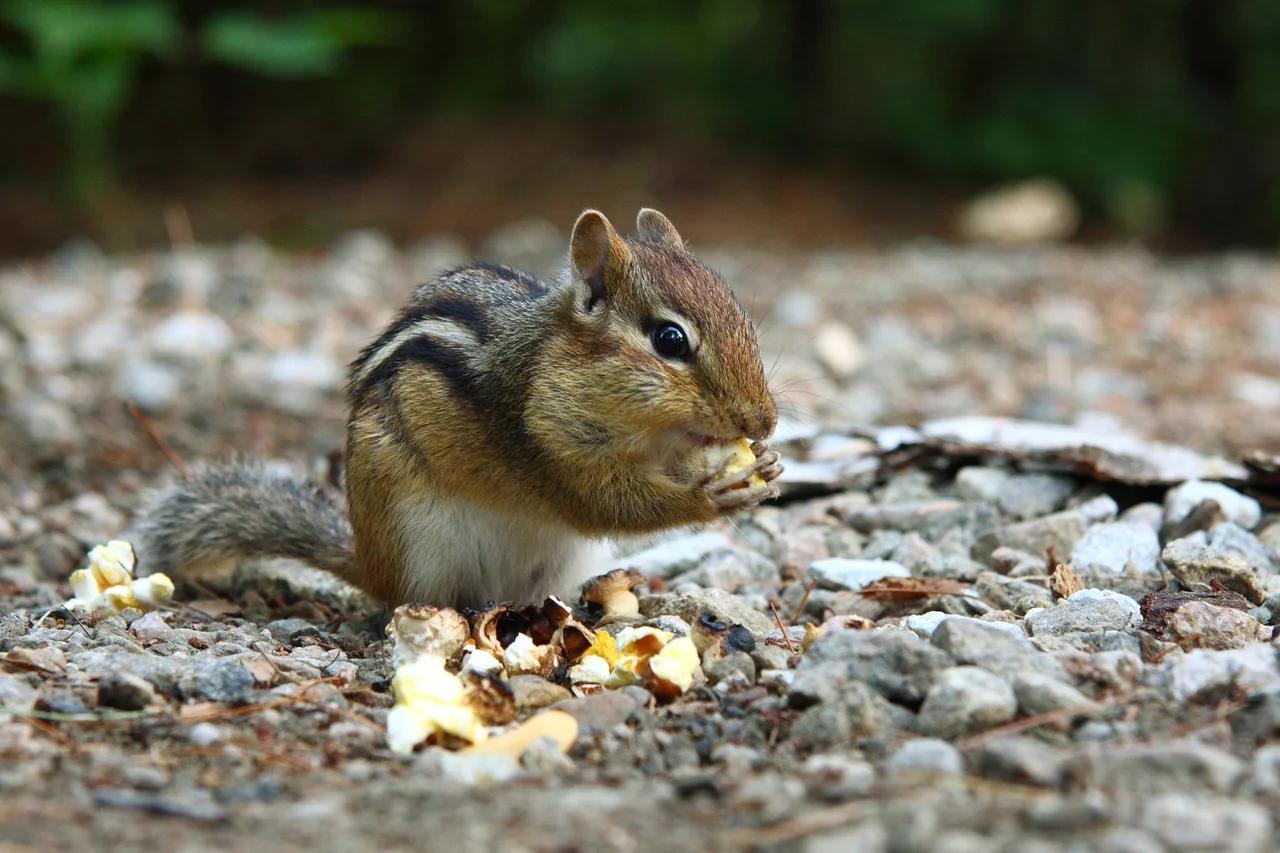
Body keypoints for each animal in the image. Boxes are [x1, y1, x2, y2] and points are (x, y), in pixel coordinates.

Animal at [128, 208, 782, 610]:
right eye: (670, 341)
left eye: (744, 318)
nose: (763, 422)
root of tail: (367, 562)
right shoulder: (547, 442)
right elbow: (606, 502)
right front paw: (711, 495)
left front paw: (765, 465)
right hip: (421, 543)